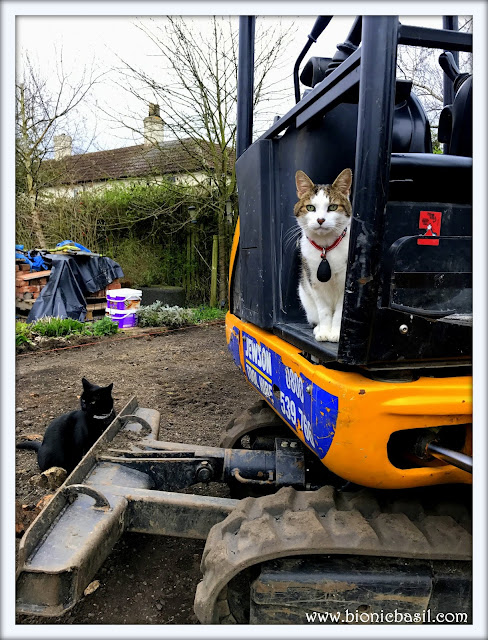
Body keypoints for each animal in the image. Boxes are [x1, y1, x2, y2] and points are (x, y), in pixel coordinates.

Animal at [292, 168, 352, 342]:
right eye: (310, 207)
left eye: (332, 207)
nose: (320, 220)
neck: (326, 248)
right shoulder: (314, 283)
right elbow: (324, 311)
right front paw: (325, 331)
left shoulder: (345, 285)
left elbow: (339, 312)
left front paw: (336, 332)